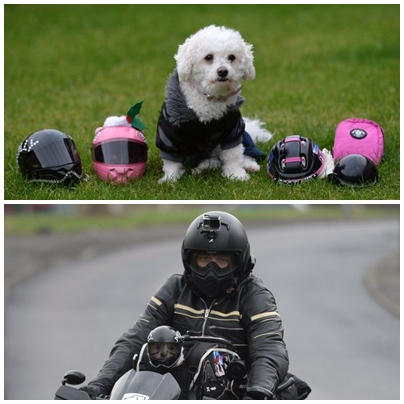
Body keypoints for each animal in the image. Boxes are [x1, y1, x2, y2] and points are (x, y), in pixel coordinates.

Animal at [155, 24, 272, 182]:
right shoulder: (170, 134)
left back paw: (249, 165)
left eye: (231, 57)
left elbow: (233, 155)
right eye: (208, 57)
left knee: (242, 155)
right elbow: (171, 161)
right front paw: (170, 179)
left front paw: (237, 174)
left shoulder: (232, 131)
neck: (210, 97)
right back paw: (202, 168)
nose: (223, 71)